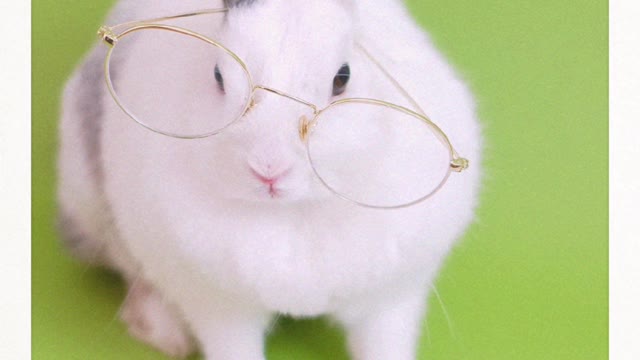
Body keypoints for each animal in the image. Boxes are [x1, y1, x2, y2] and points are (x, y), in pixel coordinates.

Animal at [58, 1, 480, 358]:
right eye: (218, 76)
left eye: (342, 78)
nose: (268, 169)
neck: (292, 213)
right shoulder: (218, 308)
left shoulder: (391, 301)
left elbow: (384, 344)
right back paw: (167, 335)